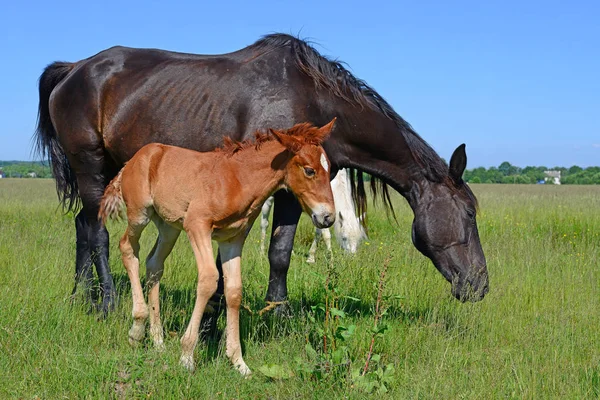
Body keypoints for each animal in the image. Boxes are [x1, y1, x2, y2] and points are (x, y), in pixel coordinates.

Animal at [35, 33, 490, 316]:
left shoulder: (294, 192)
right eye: (469, 213)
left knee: (82, 226)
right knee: (98, 233)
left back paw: (82, 296)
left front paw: (278, 312)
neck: (313, 99)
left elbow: (281, 252)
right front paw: (219, 312)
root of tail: (73, 69)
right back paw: (108, 303)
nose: (480, 286)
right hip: (91, 166)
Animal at [96, 119, 336, 376]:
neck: (237, 179)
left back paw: (158, 339)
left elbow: (234, 290)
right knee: (127, 248)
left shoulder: (233, 239)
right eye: (309, 170)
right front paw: (187, 356)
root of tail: (132, 161)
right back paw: (137, 330)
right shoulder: (197, 225)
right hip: (139, 214)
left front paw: (239, 362)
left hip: (169, 227)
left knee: (154, 265)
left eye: (330, 168)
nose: (328, 218)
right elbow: (209, 279)